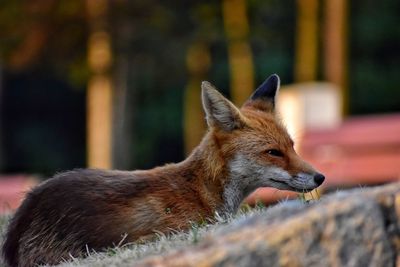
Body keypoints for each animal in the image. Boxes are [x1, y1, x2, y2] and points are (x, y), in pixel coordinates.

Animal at [1, 74, 324, 266]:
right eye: (273, 153)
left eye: (292, 146)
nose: (320, 177)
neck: (199, 189)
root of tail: (21, 218)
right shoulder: (169, 230)